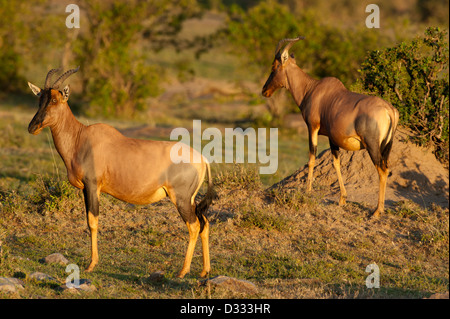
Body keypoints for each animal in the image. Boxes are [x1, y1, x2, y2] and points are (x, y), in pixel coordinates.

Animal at [27, 67, 215, 278]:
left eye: (55, 100)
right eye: (40, 99)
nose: (32, 127)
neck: (81, 137)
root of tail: (203, 160)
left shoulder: (92, 186)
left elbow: (93, 221)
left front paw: (91, 264)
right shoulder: (86, 189)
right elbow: (89, 221)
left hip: (181, 199)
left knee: (194, 226)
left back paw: (183, 272)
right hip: (190, 200)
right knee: (205, 223)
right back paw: (204, 271)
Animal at [262, 37, 400, 218]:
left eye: (274, 66)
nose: (264, 90)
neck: (312, 88)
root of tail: (389, 110)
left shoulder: (312, 128)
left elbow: (311, 158)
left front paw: (307, 192)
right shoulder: (332, 137)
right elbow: (336, 163)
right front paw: (342, 199)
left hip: (372, 146)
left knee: (382, 170)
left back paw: (377, 211)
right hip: (387, 146)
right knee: (386, 168)